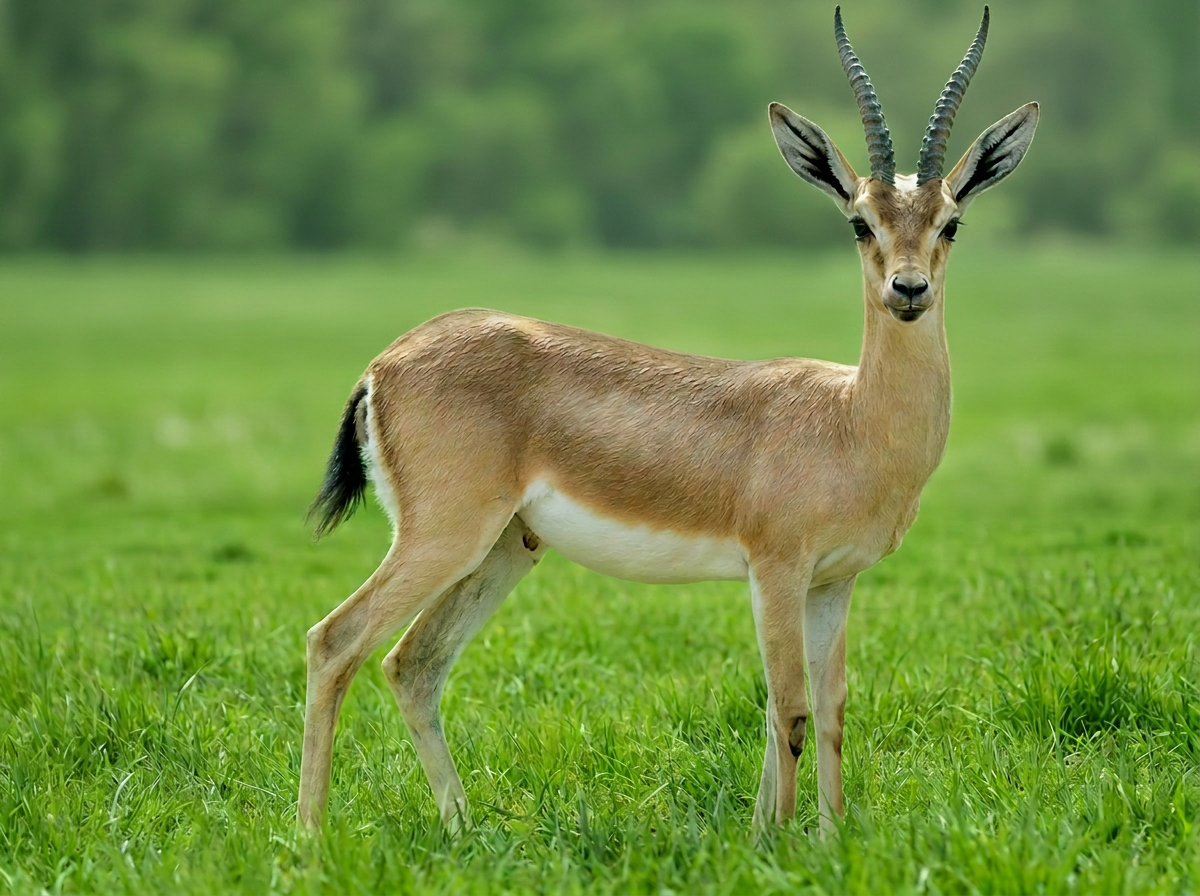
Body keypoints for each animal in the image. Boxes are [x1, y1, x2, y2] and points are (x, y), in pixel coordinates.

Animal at [297, 5, 1037, 837]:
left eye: (950, 223)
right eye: (859, 223)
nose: (908, 290)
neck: (852, 421)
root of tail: (383, 364)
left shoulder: (833, 582)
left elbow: (830, 709)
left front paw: (824, 835)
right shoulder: (776, 570)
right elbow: (788, 707)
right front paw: (778, 841)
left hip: (505, 549)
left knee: (412, 664)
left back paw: (463, 829)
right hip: (445, 537)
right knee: (335, 641)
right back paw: (310, 835)